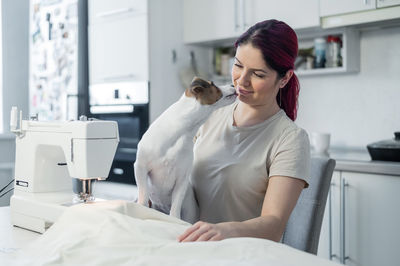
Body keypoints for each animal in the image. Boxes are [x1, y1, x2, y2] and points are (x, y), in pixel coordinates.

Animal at [134, 77, 236, 220]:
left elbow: (176, 206)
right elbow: (143, 194)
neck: (182, 128)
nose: (233, 84)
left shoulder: (182, 178)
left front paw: (175, 219)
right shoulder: (140, 167)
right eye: (213, 84)